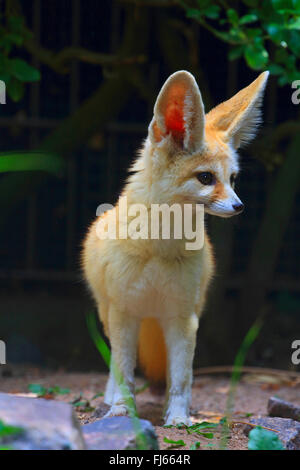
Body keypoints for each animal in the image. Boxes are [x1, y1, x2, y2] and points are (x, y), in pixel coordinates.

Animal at [81, 70, 268, 426]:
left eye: (233, 179)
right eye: (206, 178)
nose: (239, 207)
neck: (160, 249)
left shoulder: (183, 317)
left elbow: (181, 376)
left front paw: (179, 418)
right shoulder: (124, 312)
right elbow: (124, 373)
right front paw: (122, 410)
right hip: (108, 314)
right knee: (114, 367)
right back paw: (110, 400)